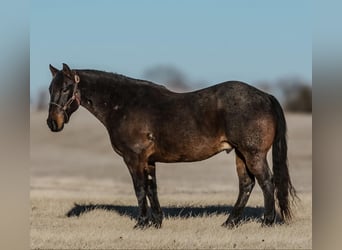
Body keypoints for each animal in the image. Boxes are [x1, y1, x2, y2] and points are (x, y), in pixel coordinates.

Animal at [46, 63, 296, 229]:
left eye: (66, 88)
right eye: (51, 89)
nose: (52, 122)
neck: (124, 104)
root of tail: (265, 96)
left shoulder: (134, 158)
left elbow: (139, 189)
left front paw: (141, 223)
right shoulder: (149, 161)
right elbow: (151, 189)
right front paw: (156, 222)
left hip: (253, 153)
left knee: (267, 182)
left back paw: (267, 222)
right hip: (240, 154)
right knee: (246, 184)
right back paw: (230, 222)